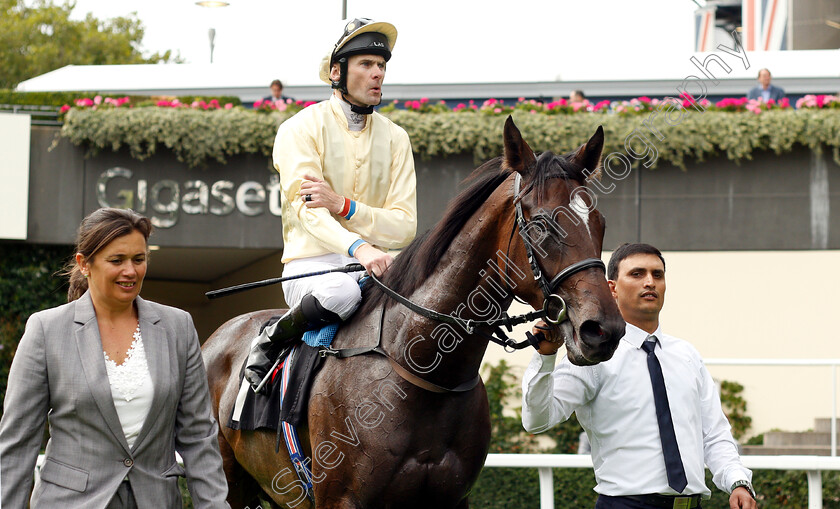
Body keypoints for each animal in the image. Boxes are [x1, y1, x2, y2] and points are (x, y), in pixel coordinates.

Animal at [202, 117, 624, 506]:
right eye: (541, 225)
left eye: (600, 222)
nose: (604, 330)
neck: (424, 369)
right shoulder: (341, 498)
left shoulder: (452, 498)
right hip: (228, 480)